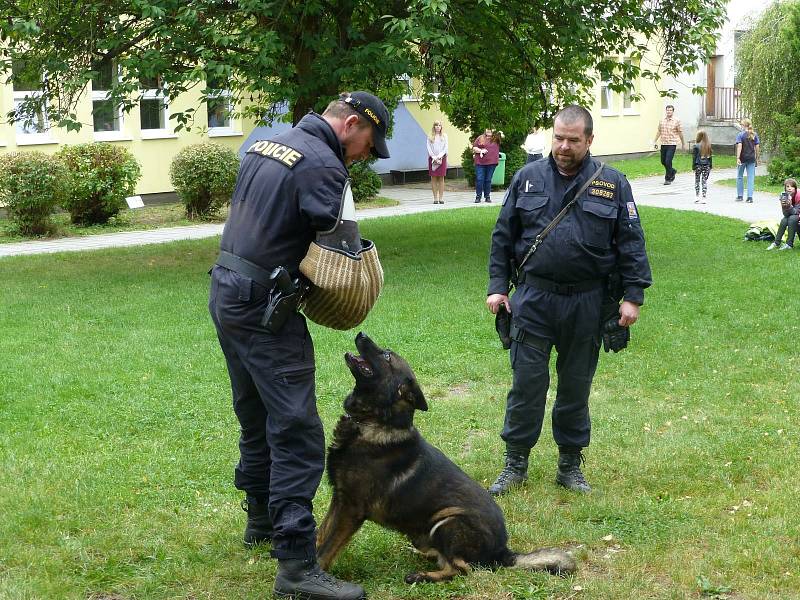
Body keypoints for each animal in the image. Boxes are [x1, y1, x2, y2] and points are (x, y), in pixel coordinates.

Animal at [316, 332, 580, 580]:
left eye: (387, 355)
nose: (360, 333)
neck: (372, 421)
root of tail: (503, 553)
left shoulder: (351, 508)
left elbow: (327, 548)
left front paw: (316, 573)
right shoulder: (339, 498)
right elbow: (320, 534)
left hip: (448, 520)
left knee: (461, 569)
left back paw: (421, 576)